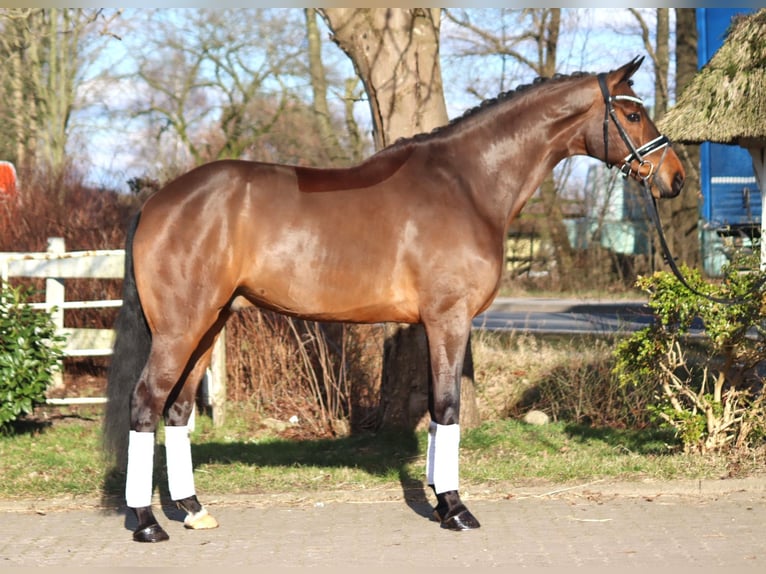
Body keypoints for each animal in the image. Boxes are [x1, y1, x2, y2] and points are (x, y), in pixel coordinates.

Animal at [103, 56, 685, 542]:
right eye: (632, 113)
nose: (675, 178)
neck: (467, 185)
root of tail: (159, 199)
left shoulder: (431, 324)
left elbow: (435, 409)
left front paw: (441, 501)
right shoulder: (449, 320)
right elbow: (446, 407)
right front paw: (456, 509)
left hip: (211, 324)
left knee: (178, 410)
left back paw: (193, 509)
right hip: (180, 328)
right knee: (146, 404)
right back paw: (147, 523)